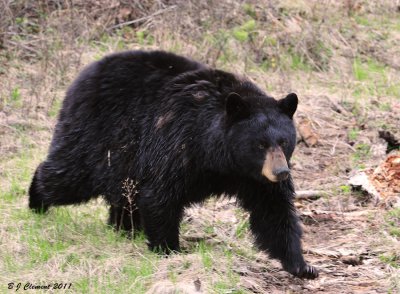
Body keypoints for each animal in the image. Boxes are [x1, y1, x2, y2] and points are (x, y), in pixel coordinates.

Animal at [29, 50, 318, 278]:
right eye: (260, 144)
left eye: (284, 141)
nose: (281, 172)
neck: (220, 157)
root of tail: (85, 73)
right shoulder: (177, 143)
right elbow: (160, 194)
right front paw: (169, 249)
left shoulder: (254, 177)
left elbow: (274, 210)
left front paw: (302, 266)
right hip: (96, 135)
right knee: (68, 176)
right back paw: (36, 203)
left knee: (121, 192)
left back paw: (123, 227)